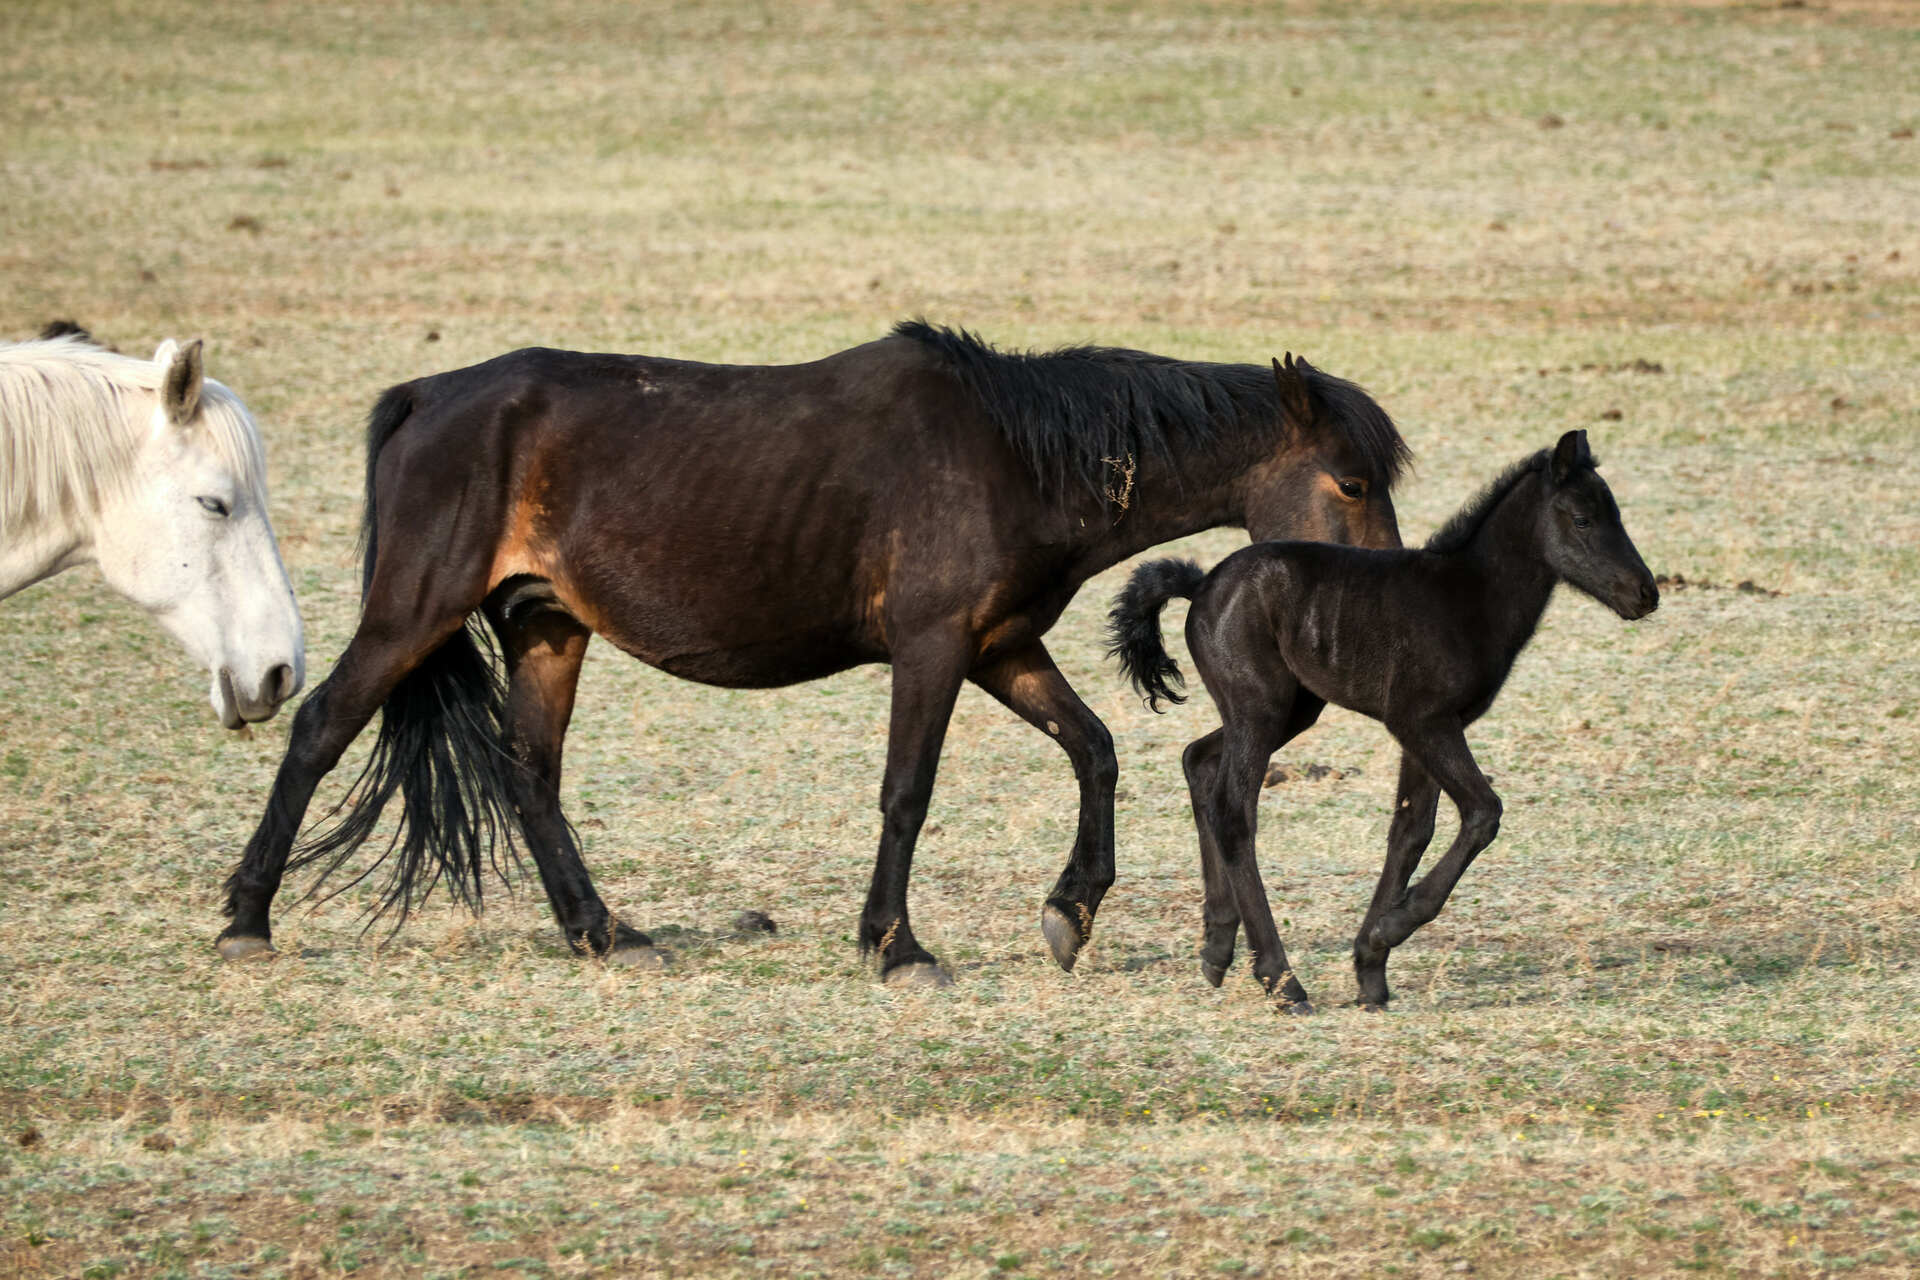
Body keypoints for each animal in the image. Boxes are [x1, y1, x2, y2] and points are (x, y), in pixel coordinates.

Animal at [220, 320, 1413, 982]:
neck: (1014, 455)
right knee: (322, 727)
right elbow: (907, 792)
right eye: (1351, 481)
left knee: (532, 774)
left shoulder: (1001, 646)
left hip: (547, 626)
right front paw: (897, 946)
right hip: (415, 609)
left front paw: (1070, 911)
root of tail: (429, 395)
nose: (1382, 607)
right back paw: (246, 918)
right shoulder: (933, 650)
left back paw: (604, 932)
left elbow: (1095, 749)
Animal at [1121, 435, 1658, 1013]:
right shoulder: (1423, 722)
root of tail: (1202, 585)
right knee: (1234, 811)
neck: (1468, 597)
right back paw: (1282, 980)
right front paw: (1390, 929)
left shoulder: (1426, 729)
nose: (1645, 592)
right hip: (1257, 709)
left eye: (1616, 513)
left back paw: (1217, 946)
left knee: (1198, 760)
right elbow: (1482, 813)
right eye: (1583, 519)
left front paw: (1371, 967)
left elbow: (1410, 830)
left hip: (1292, 709)